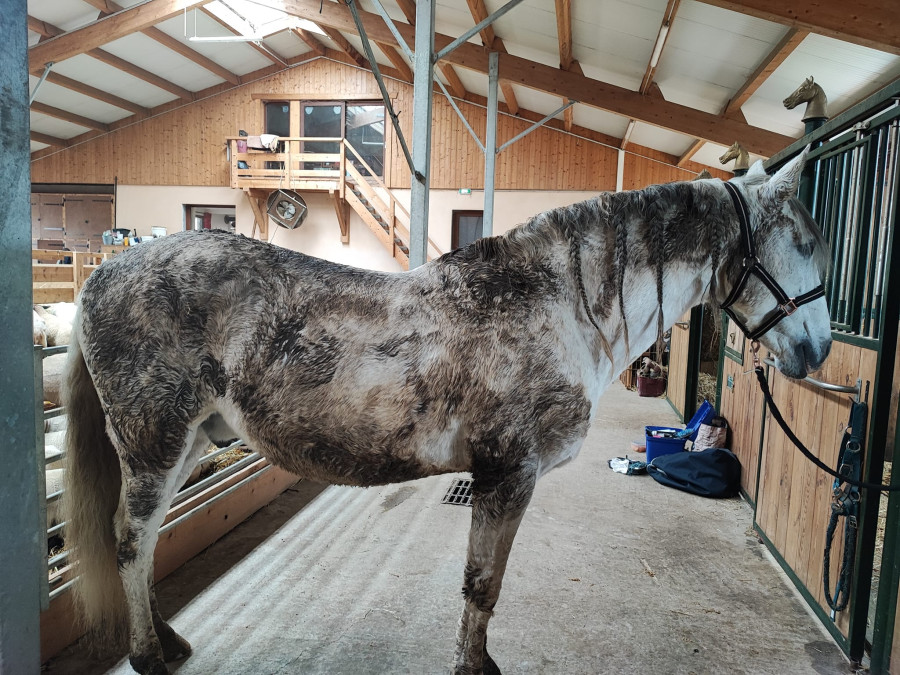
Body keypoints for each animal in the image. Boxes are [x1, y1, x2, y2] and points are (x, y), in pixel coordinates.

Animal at [63, 149, 832, 675]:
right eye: (805, 242)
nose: (819, 349)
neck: (557, 306)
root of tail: (104, 273)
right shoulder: (507, 475)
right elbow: (481, 585)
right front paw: (473, 664)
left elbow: (482, 586)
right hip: (154, 443)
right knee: (131, 541)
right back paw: (150, 655)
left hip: (193, 441)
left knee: (146, 543)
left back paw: (166, 639)